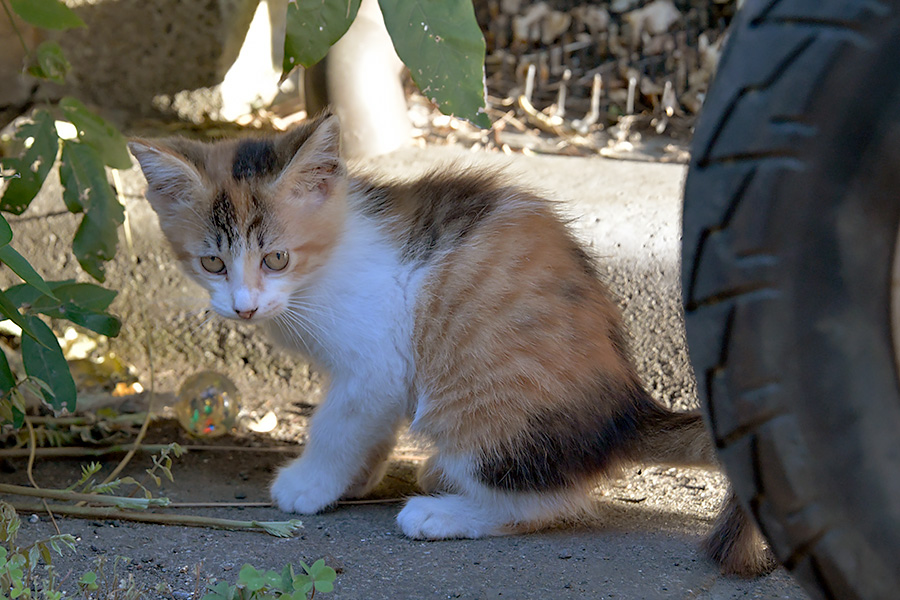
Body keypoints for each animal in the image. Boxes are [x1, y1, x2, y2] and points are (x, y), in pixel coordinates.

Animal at [130, 112, 776, 576]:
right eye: (211, 262)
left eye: (277, 258)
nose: (243, 306)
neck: (328, 261)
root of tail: (628, 408)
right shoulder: (384, 376)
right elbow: (369, 425)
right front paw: (354, 479)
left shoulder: (377, 357)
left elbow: (338, 422)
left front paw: (311, 484)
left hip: (486, 403)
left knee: (548, 502)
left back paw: (442, 513)